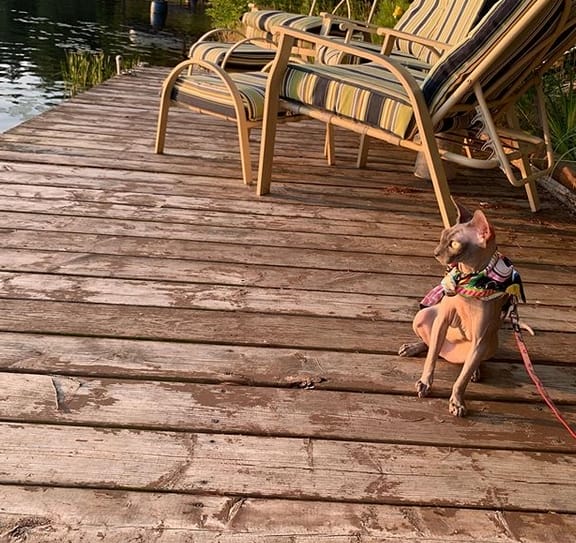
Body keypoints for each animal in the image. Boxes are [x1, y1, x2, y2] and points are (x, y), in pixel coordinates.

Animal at [399, 204, 526, 416]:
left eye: (455, 244)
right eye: (442, 236)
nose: (435, 252)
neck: (470, 279)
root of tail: (448, 355)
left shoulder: (481, 337)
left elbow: (462, 379)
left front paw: (457, 402)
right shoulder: (442, 320)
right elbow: (431, 358)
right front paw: (425, 382)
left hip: (490, 343)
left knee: (470, 362)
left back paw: (475, 371)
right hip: (423, 315)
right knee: (431, 345)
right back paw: (413, 347)